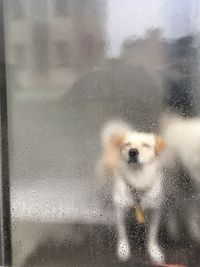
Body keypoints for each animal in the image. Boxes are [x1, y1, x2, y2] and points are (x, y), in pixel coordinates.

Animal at [98, 121, 166, 264]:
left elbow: (152, 234)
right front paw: (123, 250)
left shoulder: (155, 210)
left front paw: (155, 252)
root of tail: (111, 143)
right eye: (127, 144)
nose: (133, 152)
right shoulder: (120, 211)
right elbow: (122, 233)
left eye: (146, 145)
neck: (138, 178)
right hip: (102, 180)